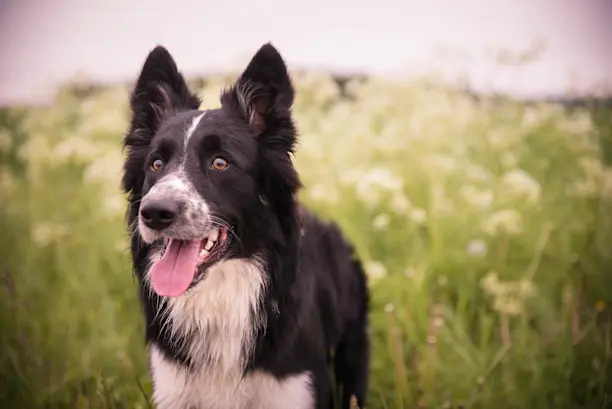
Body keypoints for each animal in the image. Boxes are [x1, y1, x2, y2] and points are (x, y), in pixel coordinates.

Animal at [120, 42, 368, 408]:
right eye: (156, 163)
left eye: (220, 163)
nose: (154, 213)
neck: (220, 296)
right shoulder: (174, 388)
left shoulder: (294, 389)